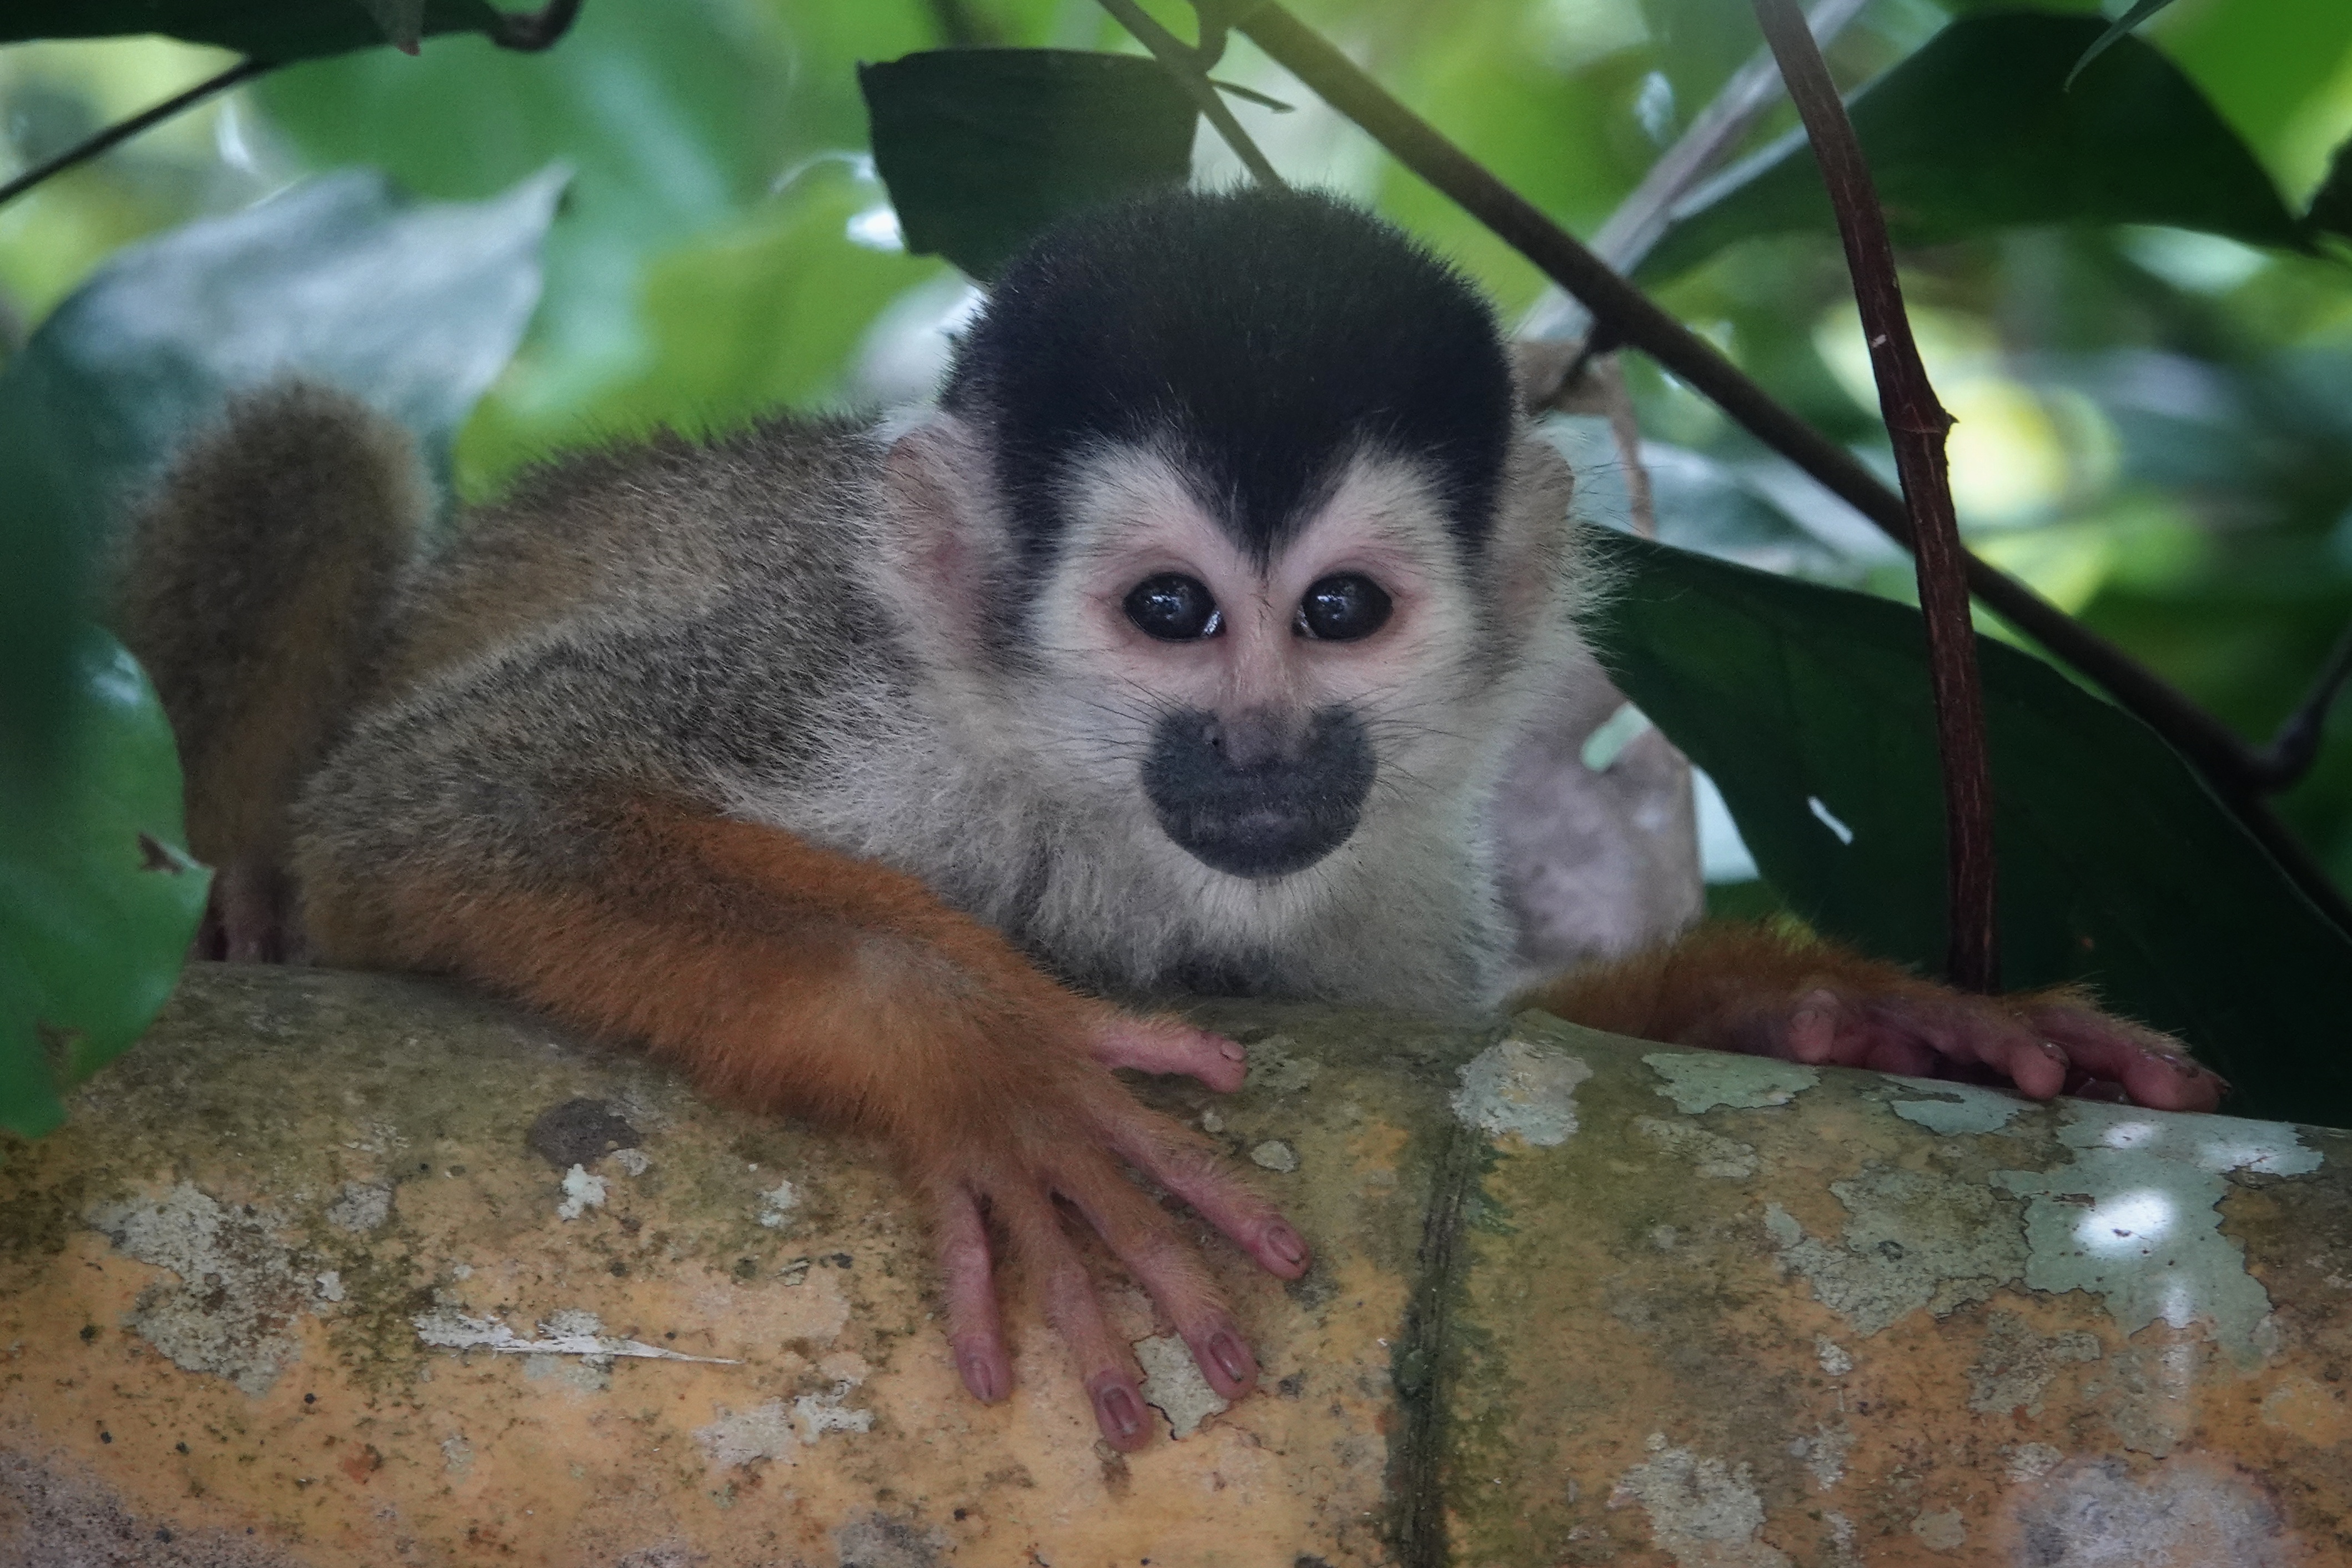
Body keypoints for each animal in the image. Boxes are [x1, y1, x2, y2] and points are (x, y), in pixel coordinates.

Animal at [109, 185, 2221, 1452]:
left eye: (1340, 611)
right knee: (311, 460)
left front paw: (1821, 1006)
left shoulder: (1377, 881)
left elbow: (1464, 1054)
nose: (1264, 751)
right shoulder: (843, 691)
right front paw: (976, 1047)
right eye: (1172, 614)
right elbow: (444, 802)